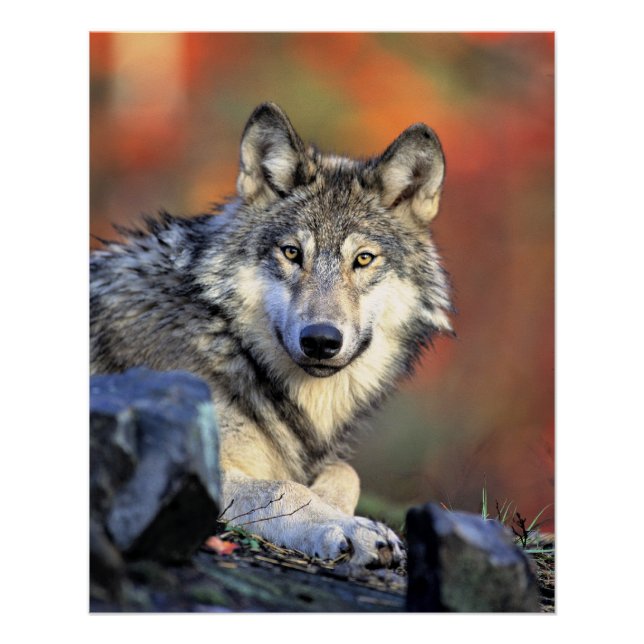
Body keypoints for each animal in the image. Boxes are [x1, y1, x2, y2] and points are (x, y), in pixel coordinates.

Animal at [90, 102, 453, 567]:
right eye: (292, 253)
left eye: (363, 259)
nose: (321, 340)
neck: (229, 342)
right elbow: (284, 488)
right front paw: (352, 529)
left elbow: (345, 471)